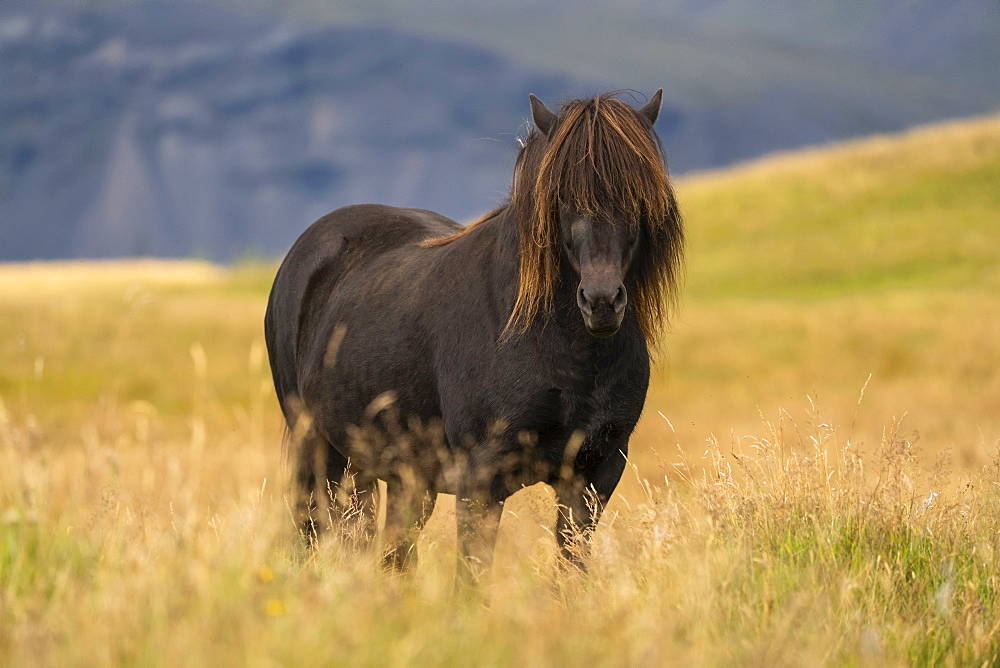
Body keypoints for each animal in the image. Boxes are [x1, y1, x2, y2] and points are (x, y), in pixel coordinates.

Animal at [266, 90, 684, 580]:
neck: (567, 357)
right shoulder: (481, 483)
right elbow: (472, 576)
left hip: (401, 476)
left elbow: (571, 572)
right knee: (313, 532)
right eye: (560, 197)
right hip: (319, 452)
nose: (601, 301)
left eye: (638, 196)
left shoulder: (593, 477)